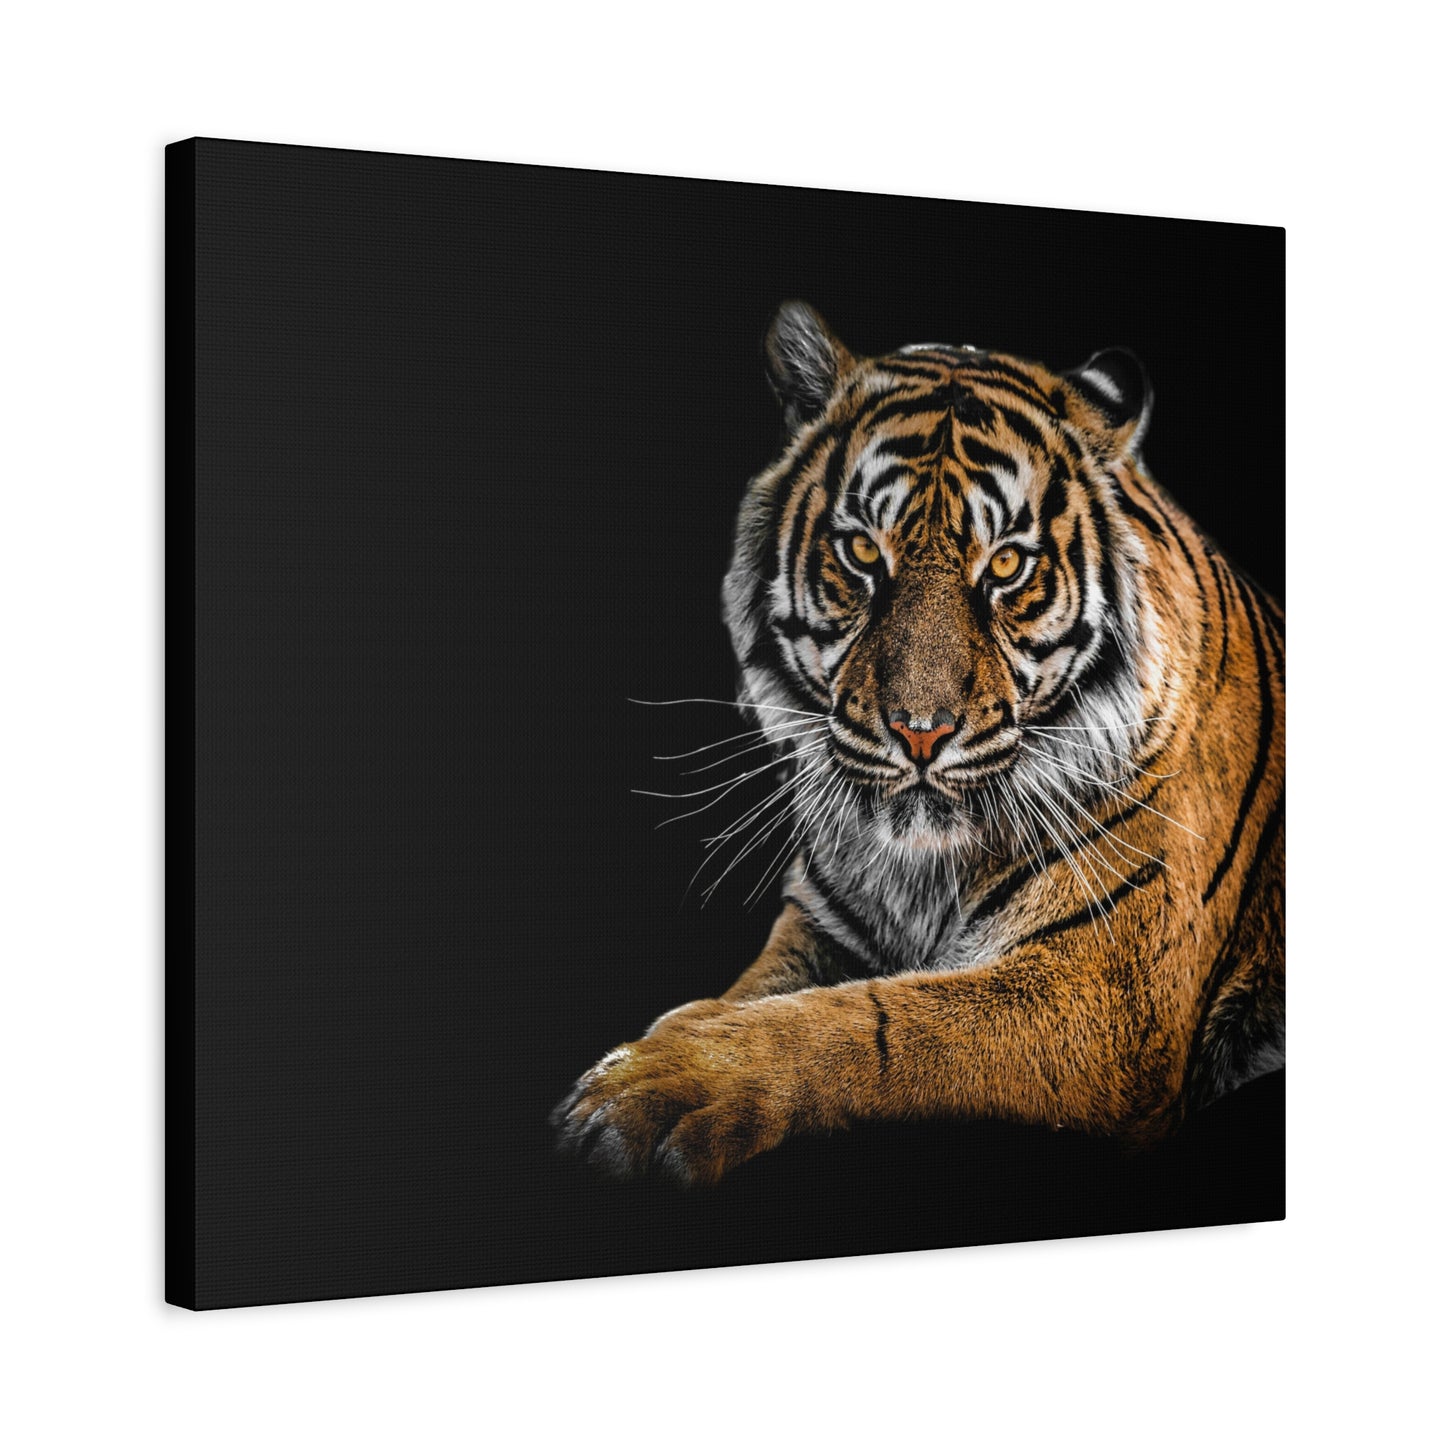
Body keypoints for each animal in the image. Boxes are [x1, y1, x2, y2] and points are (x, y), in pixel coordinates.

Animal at [553, 301, 1284, 1186]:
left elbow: (869, 1022)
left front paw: (656, 1082)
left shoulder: (1102, 991)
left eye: (1005, 565)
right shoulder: (821, 926)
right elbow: (759, 992)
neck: (920, 871)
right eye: (863, 551)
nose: (919, 732)